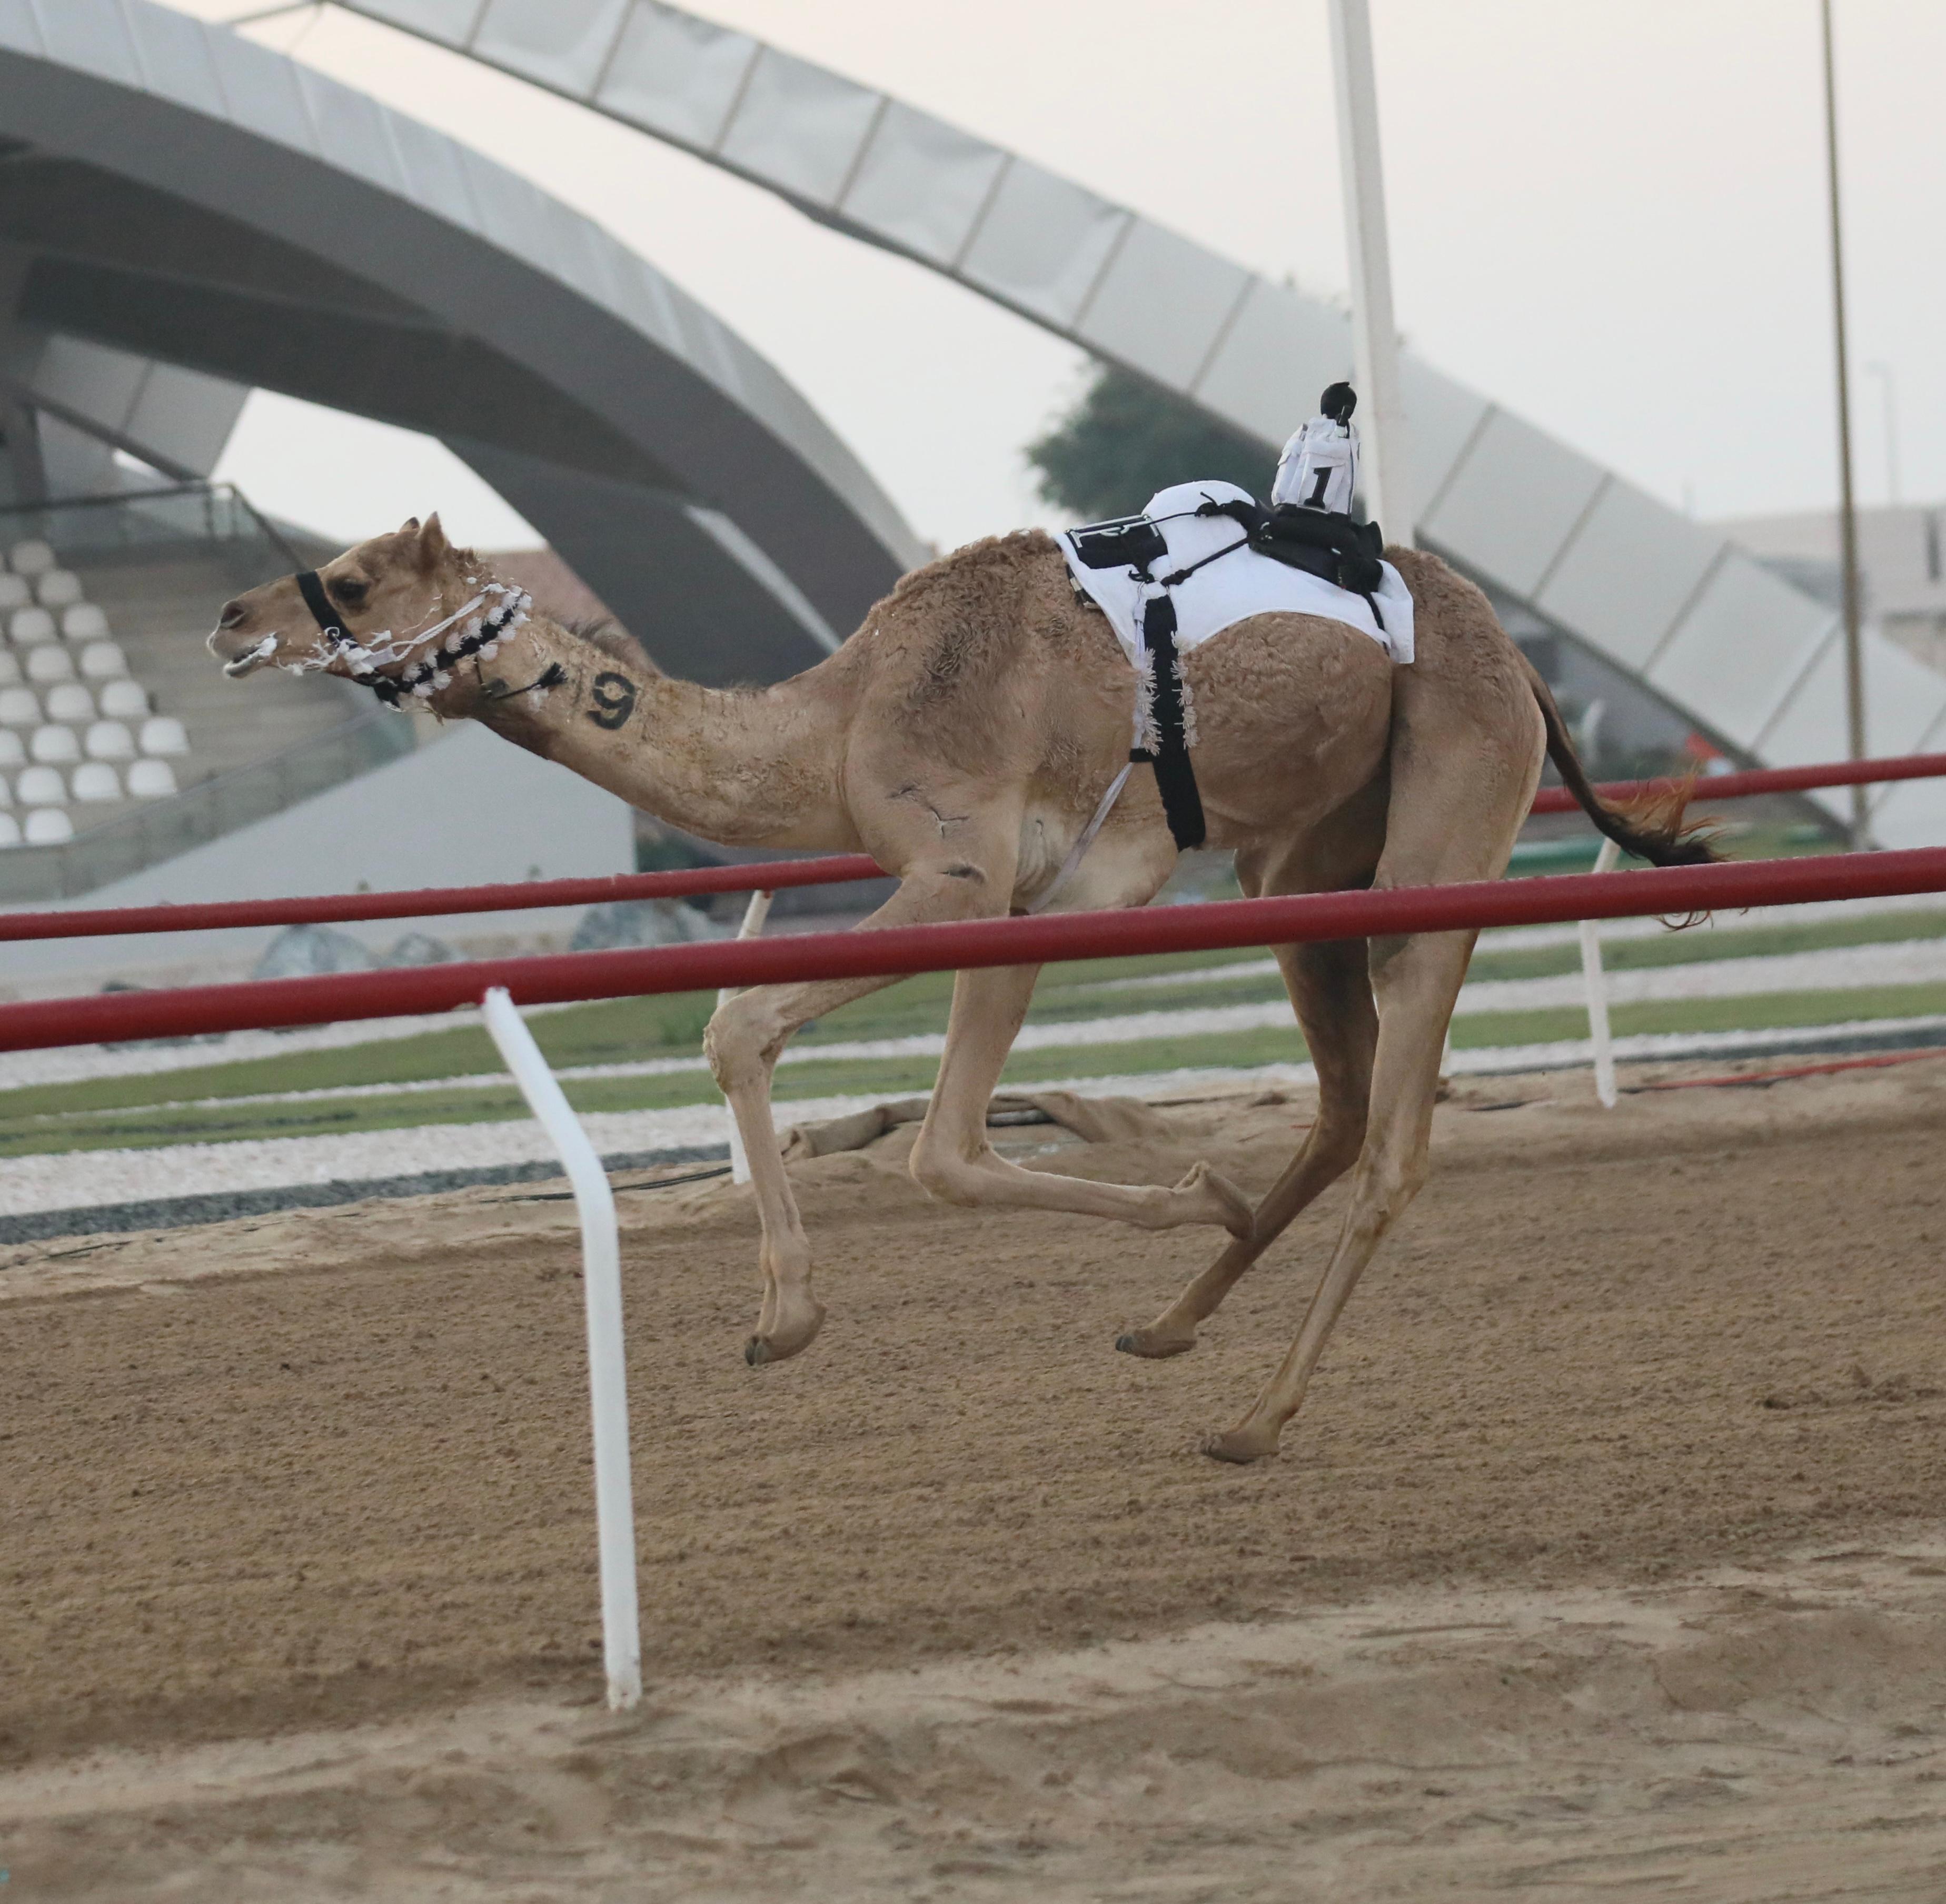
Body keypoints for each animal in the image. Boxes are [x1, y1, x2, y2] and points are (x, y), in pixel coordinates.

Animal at [205, 513, 1712, 1470]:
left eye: (348, 575)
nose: (227, 616)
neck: (835, 722)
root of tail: (1519, 653)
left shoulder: (984, 872)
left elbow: (910, 1130)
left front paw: (1183, 1191)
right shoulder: (1035, 887)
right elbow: (745, 1030)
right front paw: (787, 1314)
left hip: (1446, 820)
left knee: (1397, 1136)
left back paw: (1254, 1413)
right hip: (1305, 868)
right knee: (1342, 1108)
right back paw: (1172, 1322)